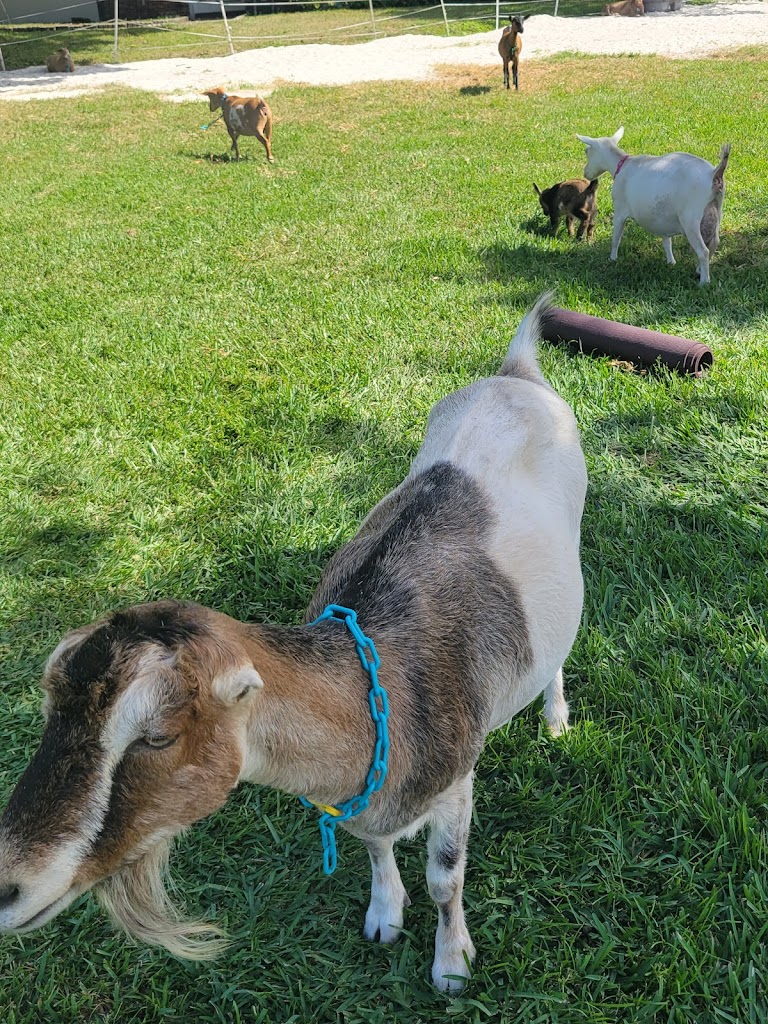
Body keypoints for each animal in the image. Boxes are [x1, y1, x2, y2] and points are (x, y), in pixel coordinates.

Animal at [0, 297, 587, 992]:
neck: (383, 685)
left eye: (158, 736)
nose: (7, 887)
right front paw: (385, 914)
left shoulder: (456, 782)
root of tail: (515, 373)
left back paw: (555, 717)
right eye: (49, 710)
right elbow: (373, 842)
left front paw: (451, 965)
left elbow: (446, 879)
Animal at [576, 126, 731, 285]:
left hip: (690, 218)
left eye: (586, 151)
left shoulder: (619, 209)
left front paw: (612, 259)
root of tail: (713, 174)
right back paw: (699, 271)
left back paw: (704, 282)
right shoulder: (662, 218)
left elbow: (616, 237)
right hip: (717, 207)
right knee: (714, 242)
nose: (586, 173)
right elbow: (666, 241)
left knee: (703, 250)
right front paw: (671, 262)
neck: (622, 164)